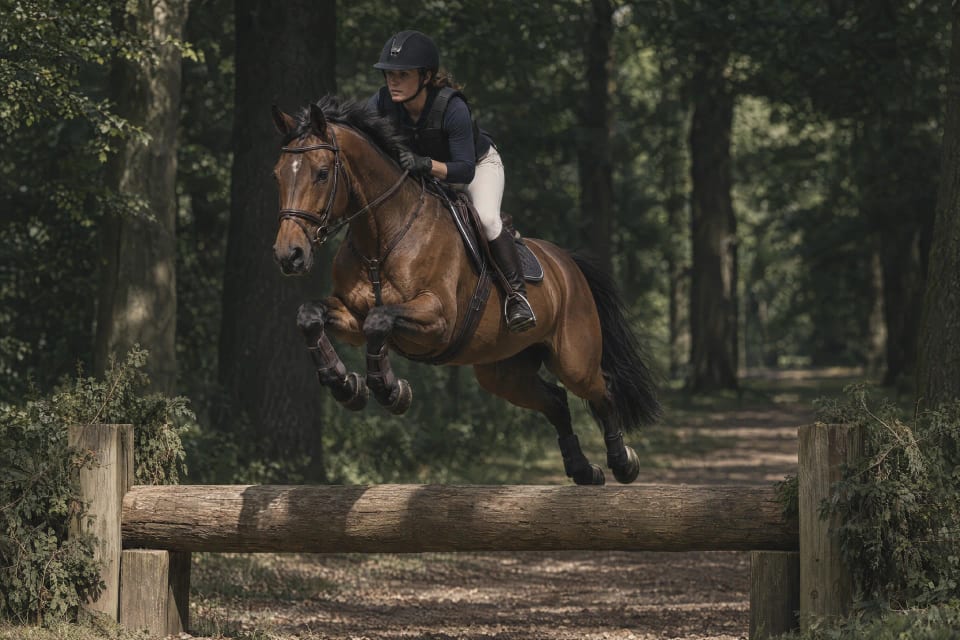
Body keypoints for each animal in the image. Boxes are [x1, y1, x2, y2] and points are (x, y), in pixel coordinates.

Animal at [270, 96, 660, 485]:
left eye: (322, 173)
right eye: (277, 174)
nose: (289, 255)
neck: (382, 237)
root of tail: (568, 263)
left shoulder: (438, 320)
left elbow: (379, 321)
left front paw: (391, 392)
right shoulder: (351, 314)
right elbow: (311, 315)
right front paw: (346, 386)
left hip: (573, 359)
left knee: (601, 391)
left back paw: (622, 462)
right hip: (503, 370)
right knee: (556, 401)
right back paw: (583, 470)